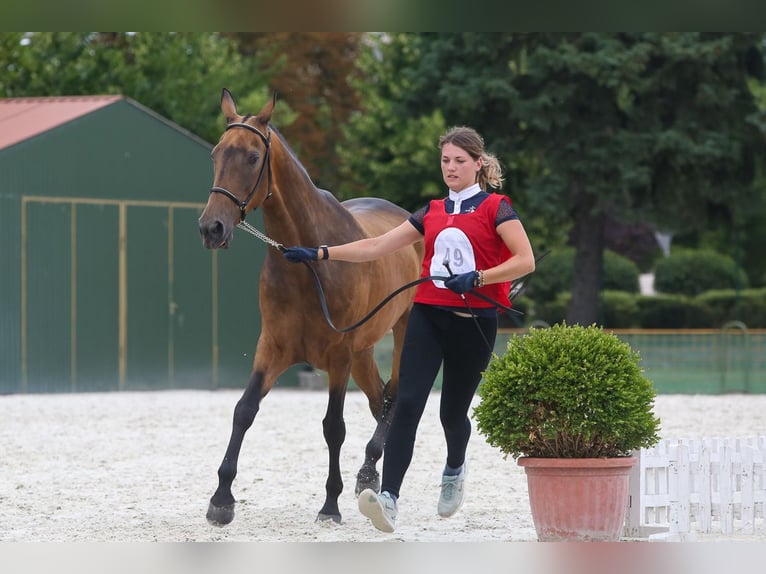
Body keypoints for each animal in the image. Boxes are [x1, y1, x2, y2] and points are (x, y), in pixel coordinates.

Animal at [196, 89, 426, 528]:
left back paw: (369, 474)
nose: (211, 228)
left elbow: (333, 427)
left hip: (402, 332)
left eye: (253, 156)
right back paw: (370, 474)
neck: (306, 261)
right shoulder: (273, 347)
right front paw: (221, 499)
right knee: (380, 401)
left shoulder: (338, 356)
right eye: (216, 153)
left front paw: (330, 504)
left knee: (395, 397)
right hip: (364, 351)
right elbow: (244, 411)